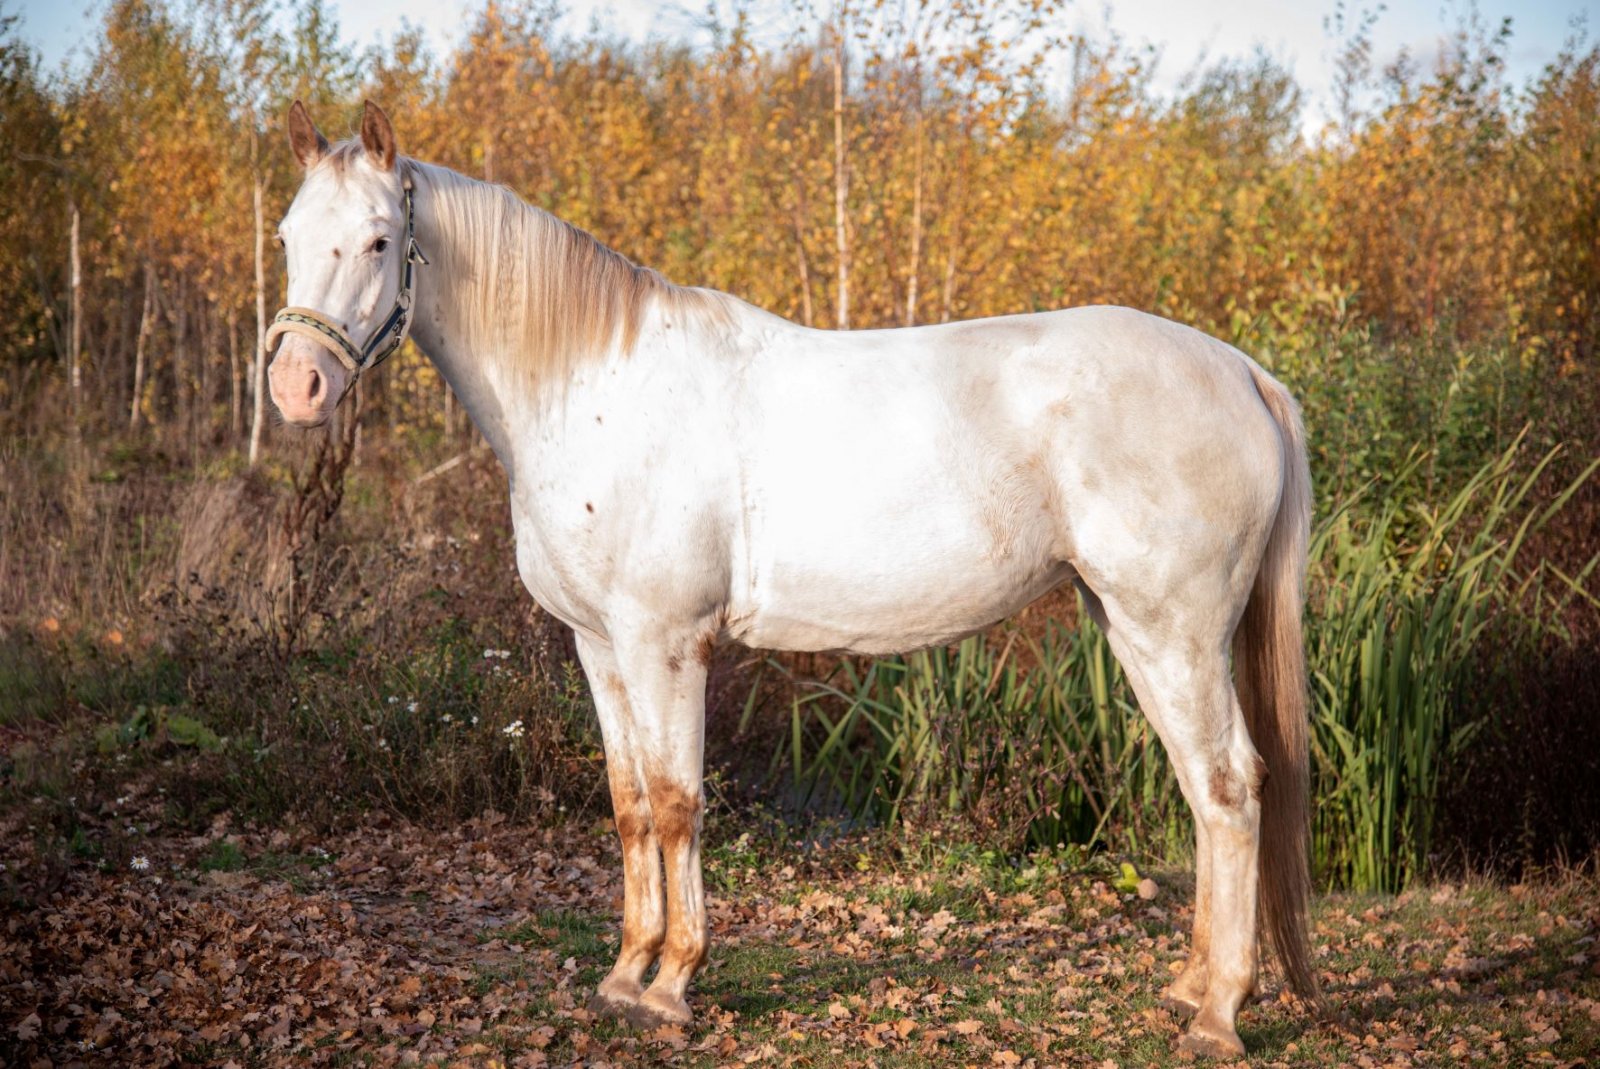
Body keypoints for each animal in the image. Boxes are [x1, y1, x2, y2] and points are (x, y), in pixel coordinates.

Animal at [266, 100, 1318, 1057]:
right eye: (286, 236)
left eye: (379, 240)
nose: (296, 387)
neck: (594, 387)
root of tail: (1243, 372)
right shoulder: (600, 645)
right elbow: (629, 804)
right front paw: (624, 973)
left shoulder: (667, 643)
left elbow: (678, 802)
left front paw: (671, 986)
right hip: (1131, 627)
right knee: (1201, 787)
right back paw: (1187, 987)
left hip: (1174, 630)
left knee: (1231, 786)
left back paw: (1220, 1013)